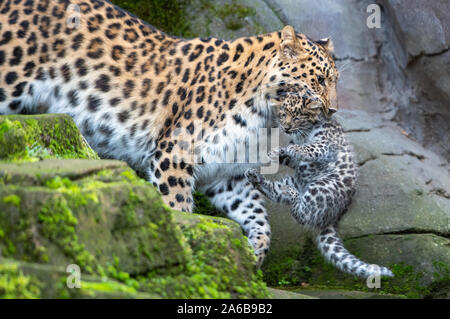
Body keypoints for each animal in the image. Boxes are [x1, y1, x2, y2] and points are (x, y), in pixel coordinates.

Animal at [0, 0, 338, 264]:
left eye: (335, 80)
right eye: (320, 80)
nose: (333, 110)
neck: (263, 110)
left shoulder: (227, 174)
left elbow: (257, 214)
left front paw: (256, 251)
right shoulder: (174, 155)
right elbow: (178, 207)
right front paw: (185, 242)